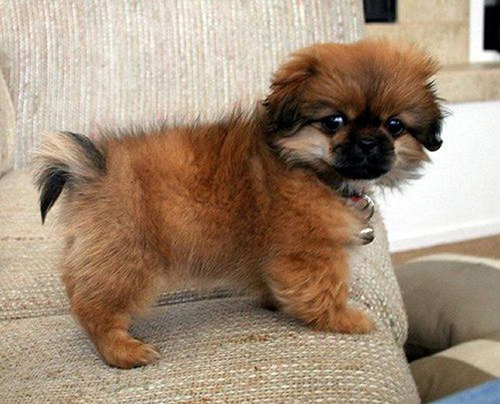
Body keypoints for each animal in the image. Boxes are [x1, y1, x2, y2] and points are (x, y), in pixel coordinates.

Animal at [33, 39, 444, 368]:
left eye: (394, 126)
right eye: (334, 121)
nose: (369, 143)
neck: (308, 168)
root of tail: (91, 166)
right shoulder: (311, 254)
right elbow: (325, 289)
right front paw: (344, 320)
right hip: (128, 259)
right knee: (92, 308)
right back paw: (123, 351)